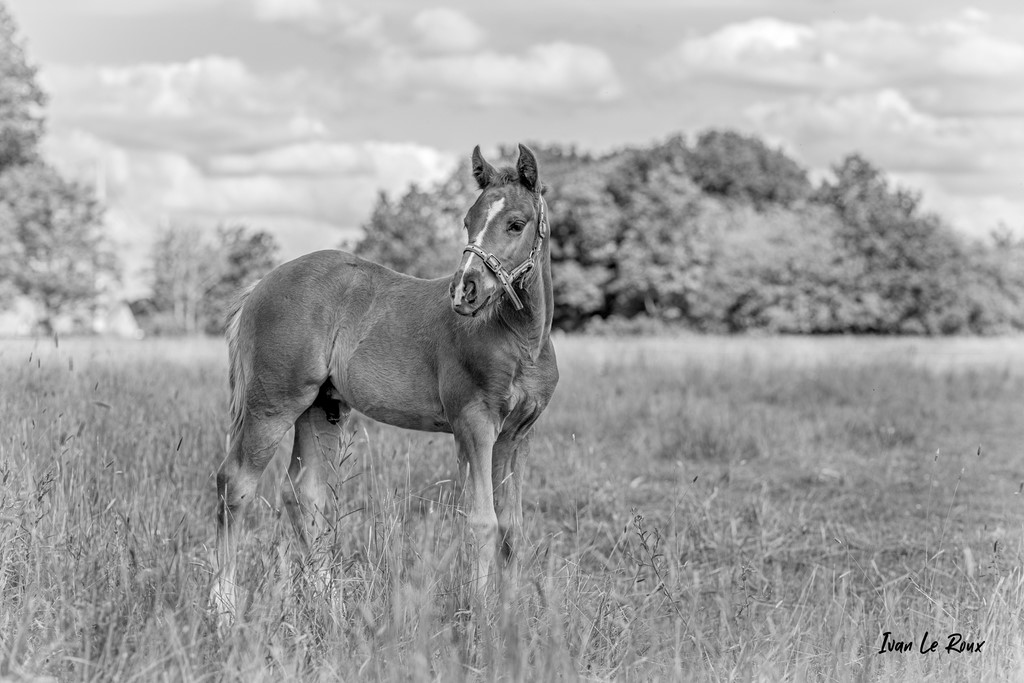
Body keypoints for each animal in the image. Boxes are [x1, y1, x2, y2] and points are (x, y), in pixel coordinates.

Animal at [210, 143, 557, 618]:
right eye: (468, 220)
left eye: (516, 224)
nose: (464, 290)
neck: (518, 338)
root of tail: (260, 285)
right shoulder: (474, 424)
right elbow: (483, 520)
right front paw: (477, 615)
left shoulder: (517, 434)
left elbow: (512, 527)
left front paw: (509, 616)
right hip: (272, 403)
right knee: (236, 484)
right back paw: (224, 607)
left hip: (321, 407)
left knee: (304, 493)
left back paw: (327, 604)